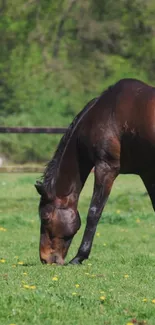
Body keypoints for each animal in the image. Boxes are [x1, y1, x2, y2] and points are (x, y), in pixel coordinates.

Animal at [35, 78, 155, 264]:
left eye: (45, 217)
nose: (45, 259)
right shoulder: (147, 172)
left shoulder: (105, 168)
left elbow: (94, 212)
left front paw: (79, 257)